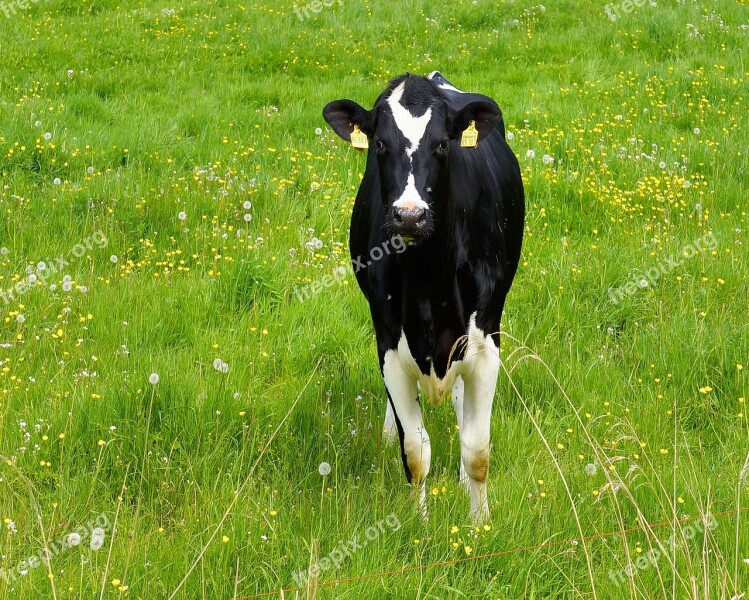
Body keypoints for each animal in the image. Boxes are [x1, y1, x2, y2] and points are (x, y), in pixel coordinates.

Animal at [322, 71, 524, 524]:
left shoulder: (485, 344)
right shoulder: (389, 346)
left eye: (443, 144)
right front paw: (419, 524)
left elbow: (477, 450)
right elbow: (414, 453)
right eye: (380, 144)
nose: (410, 216)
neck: (428, 281)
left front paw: (479, 523)